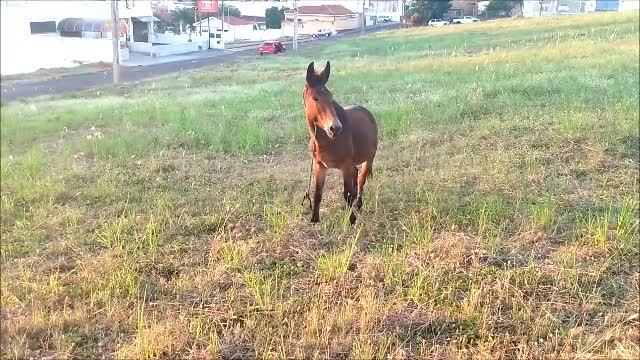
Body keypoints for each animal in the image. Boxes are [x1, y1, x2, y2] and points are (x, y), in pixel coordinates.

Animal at [302, 62, 378, 225]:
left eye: (331, 97)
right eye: (315, 98)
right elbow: (317, 194)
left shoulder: (345, 167)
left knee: (361, 179)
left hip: (368, 159)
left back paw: (358, 205)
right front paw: (314, 220)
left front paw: (352, 220)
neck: (326, 141)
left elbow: (347, 194)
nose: (335, 128)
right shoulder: (319, 166)